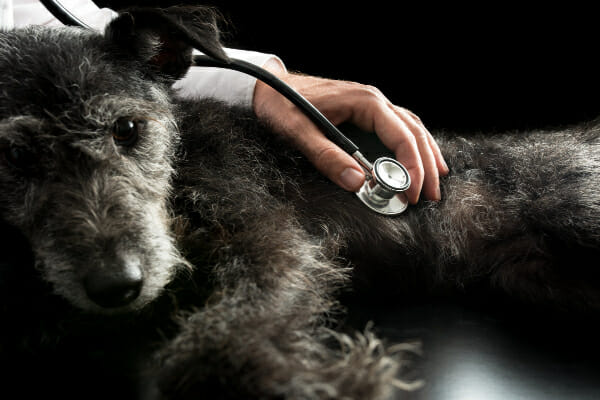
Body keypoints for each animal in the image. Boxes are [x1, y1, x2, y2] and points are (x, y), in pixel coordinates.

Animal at [0, 5, 596, 400]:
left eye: (126, 128)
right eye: (13, 156)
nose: (116, 286)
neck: (179, 171)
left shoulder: (271, 241)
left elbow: (215, 343)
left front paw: (342, 380)